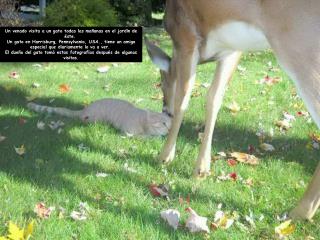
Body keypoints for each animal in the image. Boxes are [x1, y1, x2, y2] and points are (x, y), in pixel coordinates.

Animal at [27, 98, 171, 136]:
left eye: (170, 125)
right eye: (163, 123)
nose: (170, 130)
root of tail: (85, 109)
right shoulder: (127, 133)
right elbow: (145, 137)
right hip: (96, 119)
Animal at [146, 0, 320, 220]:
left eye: (161, 81)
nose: (164, 109)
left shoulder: (186, 36)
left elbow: (183, 98)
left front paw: (165, 156)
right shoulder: (232, 50)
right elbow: (214, 98)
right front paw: (202, 168)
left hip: (300, 48)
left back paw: (300, 211)